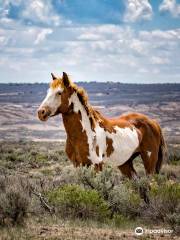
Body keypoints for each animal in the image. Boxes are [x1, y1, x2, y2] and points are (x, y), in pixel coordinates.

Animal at [37, 72, 166, 179]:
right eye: (48, 92)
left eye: (59, 92)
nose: (41, 112)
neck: (85, 133)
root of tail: (154, 123)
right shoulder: (78, 165)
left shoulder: (96, 165)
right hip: (125, 163)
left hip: (149, 161)